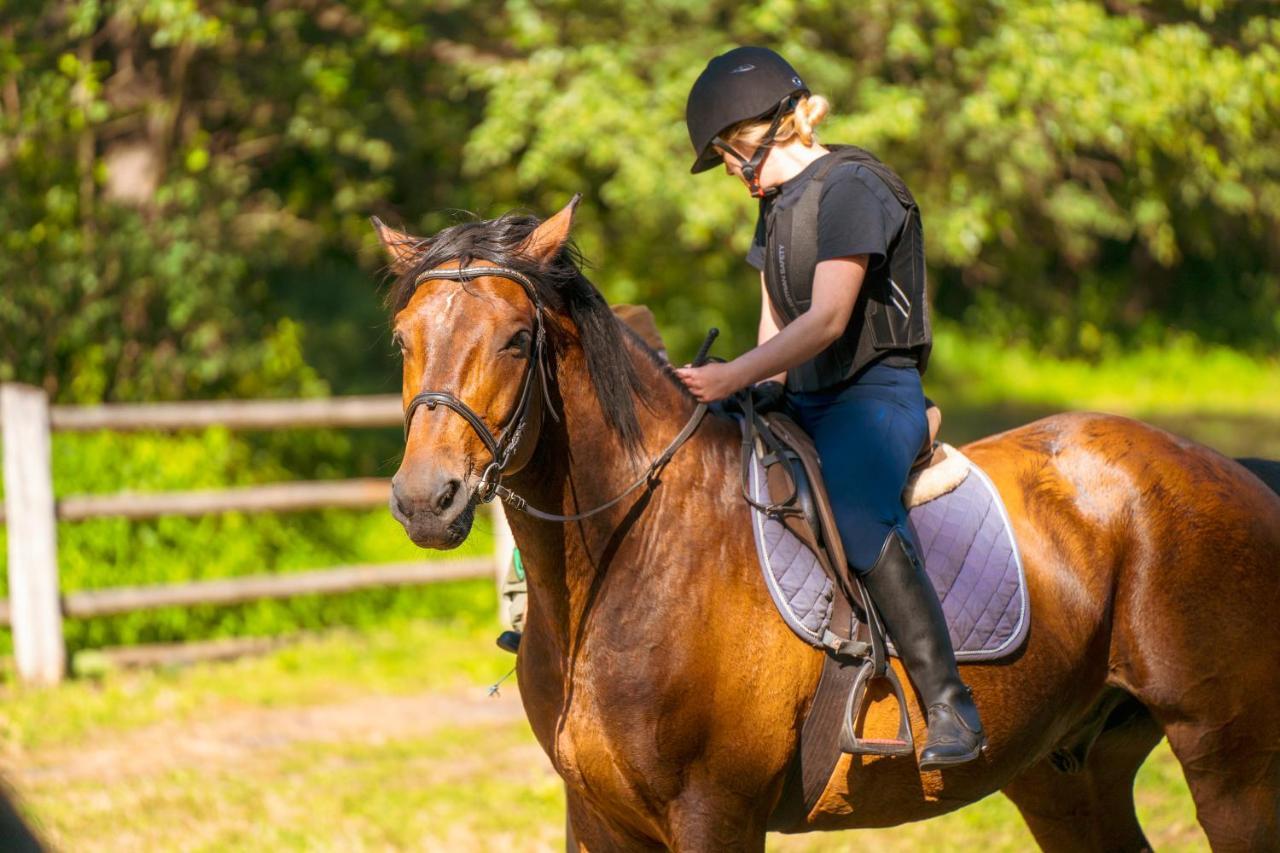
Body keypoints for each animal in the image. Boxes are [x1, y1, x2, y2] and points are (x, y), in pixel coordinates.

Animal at [373, 195, 1280, 845]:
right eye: (404, 340)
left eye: (515, 339)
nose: (426, 499)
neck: (635, 557)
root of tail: (1231, 469)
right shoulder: (595, 817)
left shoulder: (713, 814)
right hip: (1066, 773)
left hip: (1230, 764)